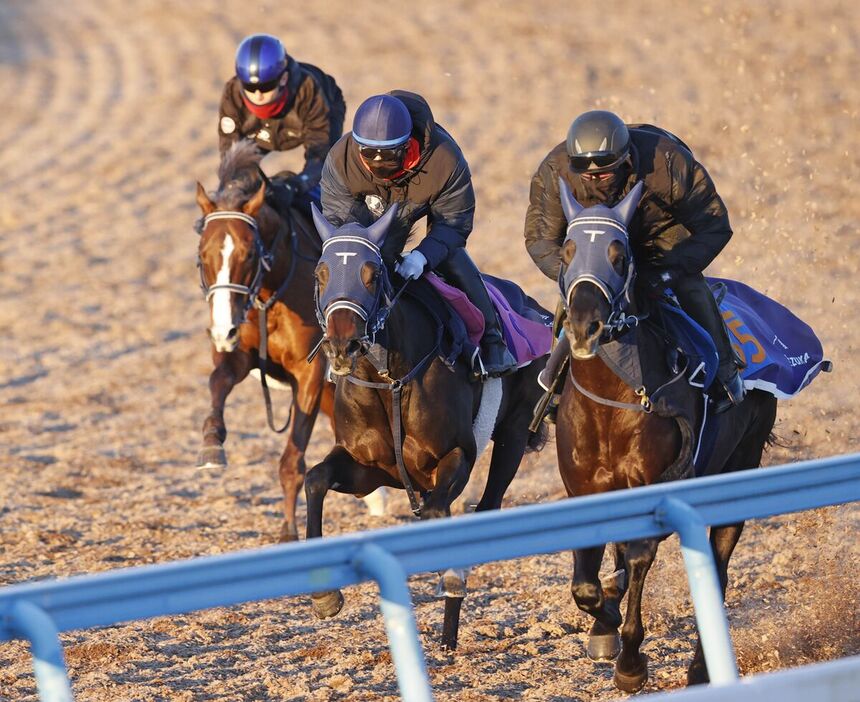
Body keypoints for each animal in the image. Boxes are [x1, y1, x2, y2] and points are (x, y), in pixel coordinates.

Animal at [195, 139, 332, 544]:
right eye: (203, 255)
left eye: (250, 253)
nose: (222, 329)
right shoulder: (240, 354)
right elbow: (218, 381)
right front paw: (212, 444)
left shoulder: (311, 374)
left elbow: (292, 461)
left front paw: (288, 533)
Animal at [302, 206, 544, 652]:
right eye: (321, 273)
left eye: (371, 274)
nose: (342, 346)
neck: (389, 378)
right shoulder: (368, 469)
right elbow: (315, 479)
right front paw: (324, 594)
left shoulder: (456, 456)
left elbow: (435, 511)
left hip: (515, 433)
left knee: (487, 506)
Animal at [552, 180, 780, 692]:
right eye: (567, 251)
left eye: (620, 256)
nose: (585, 326)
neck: (611, 401)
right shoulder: (584, 490)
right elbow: (587, 586)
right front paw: (604, 623)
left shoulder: (657, 486)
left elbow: (637, 560)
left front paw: (631, 663)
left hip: (740, 463)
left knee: (718, 569)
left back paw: (699, 670)